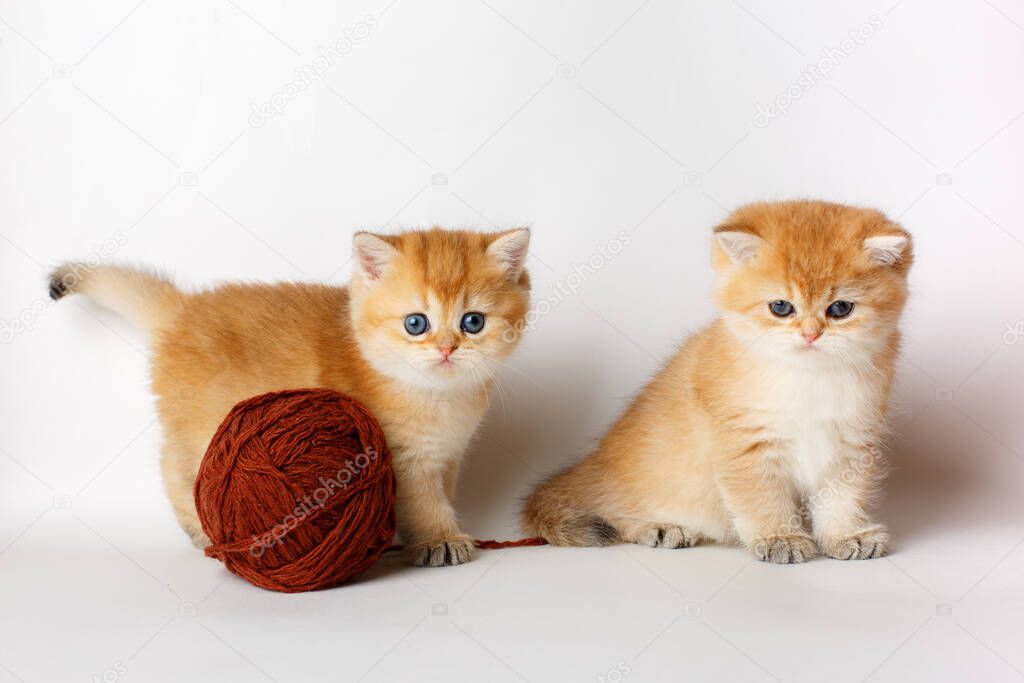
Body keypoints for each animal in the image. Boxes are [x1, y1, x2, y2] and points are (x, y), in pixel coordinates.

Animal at [49, 227, 528, 569]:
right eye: (416, 323)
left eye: (472, 322)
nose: (447, 348)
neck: (439, 398)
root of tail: (183, 309)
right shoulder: (402, 458)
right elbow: (425, 503)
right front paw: (439, 539)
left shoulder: (448, 456)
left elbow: (442, 492)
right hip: (201, 427)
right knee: (173, 465)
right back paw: (199, 528)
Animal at [528, 200, 913, 565]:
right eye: (780, 307)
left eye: (840, 309)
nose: (810, 334)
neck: (808, 377)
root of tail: (591, 463)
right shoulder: (745, 445)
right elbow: (762, 498)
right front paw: (781, 538)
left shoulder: (852, 443)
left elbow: (842, 499)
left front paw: (847, 535)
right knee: (610, 511)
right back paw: (659, 527)